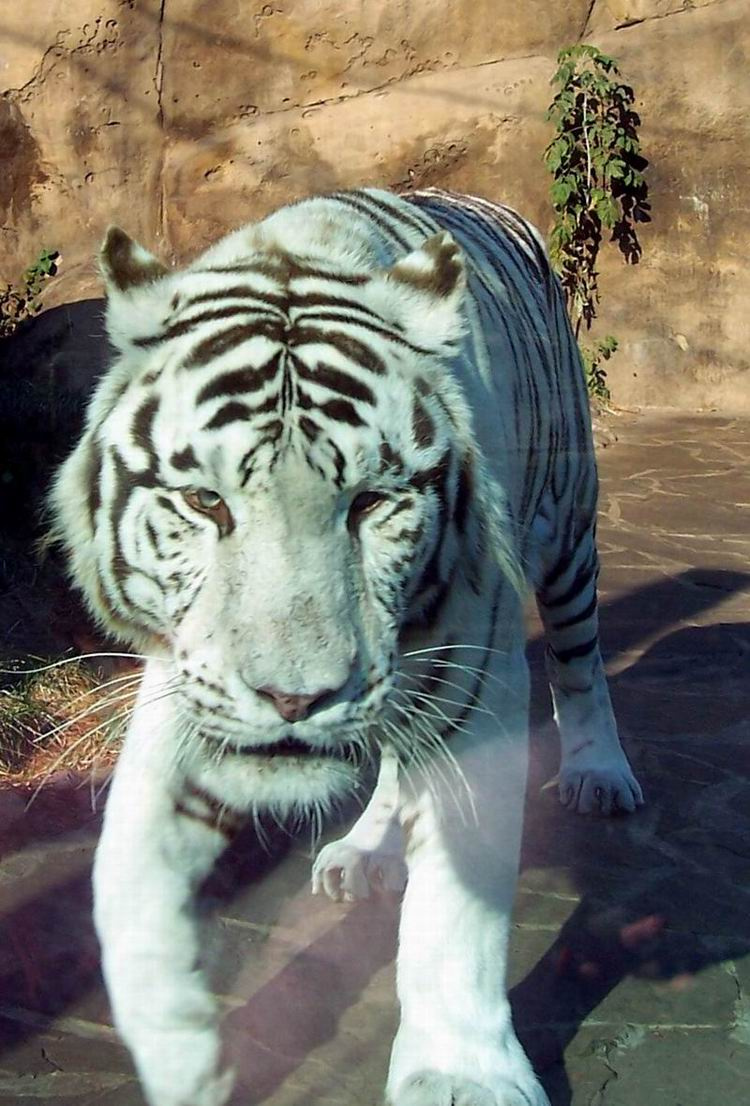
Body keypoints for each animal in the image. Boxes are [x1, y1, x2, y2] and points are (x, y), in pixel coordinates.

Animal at [50, 186, 643, 1106]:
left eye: (370, 502)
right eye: (203, 501)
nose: (296, 699)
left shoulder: (478, 673)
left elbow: (455, 914)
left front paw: (460, 1073)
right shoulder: (183, 689)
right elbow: (126, 876)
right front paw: (179, 1050)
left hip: (566, 525)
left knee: (580, 663)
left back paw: (598, 774)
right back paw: (366, 849)